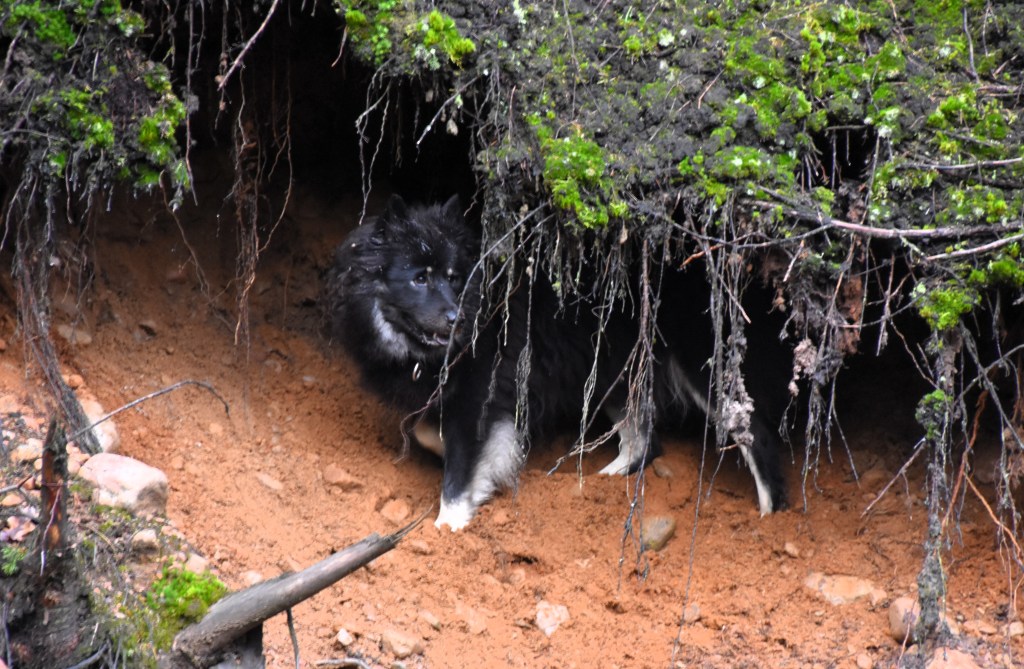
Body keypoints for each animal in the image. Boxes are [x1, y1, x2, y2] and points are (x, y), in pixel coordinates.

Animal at [326, 194, 787, 530]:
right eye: (419, 278)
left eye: (455, 277)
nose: (457, 317)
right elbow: (430, 433)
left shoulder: (478, 397)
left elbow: (458, 471)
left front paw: (449, 525)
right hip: (611, 371)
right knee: (644, 440)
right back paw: (602, 481)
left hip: (704, 372)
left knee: (759, 439)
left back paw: (768, 519)